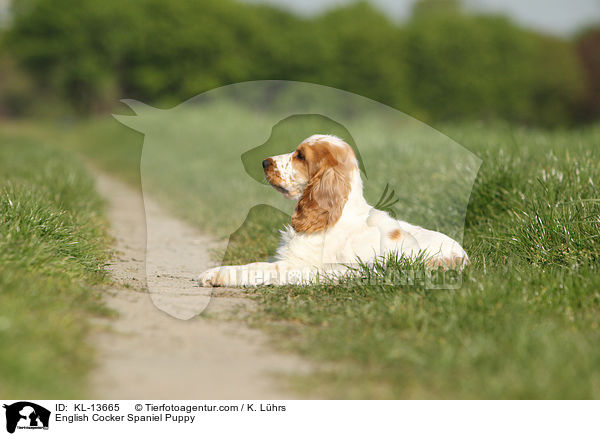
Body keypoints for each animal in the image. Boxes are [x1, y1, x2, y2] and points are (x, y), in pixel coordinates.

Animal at [198, 135, 468, 288]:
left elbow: (256, 268)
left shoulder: (302, 267)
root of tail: (465, 259)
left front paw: (213, 275)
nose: (264, 162)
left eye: (300, 156)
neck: (335, 215)